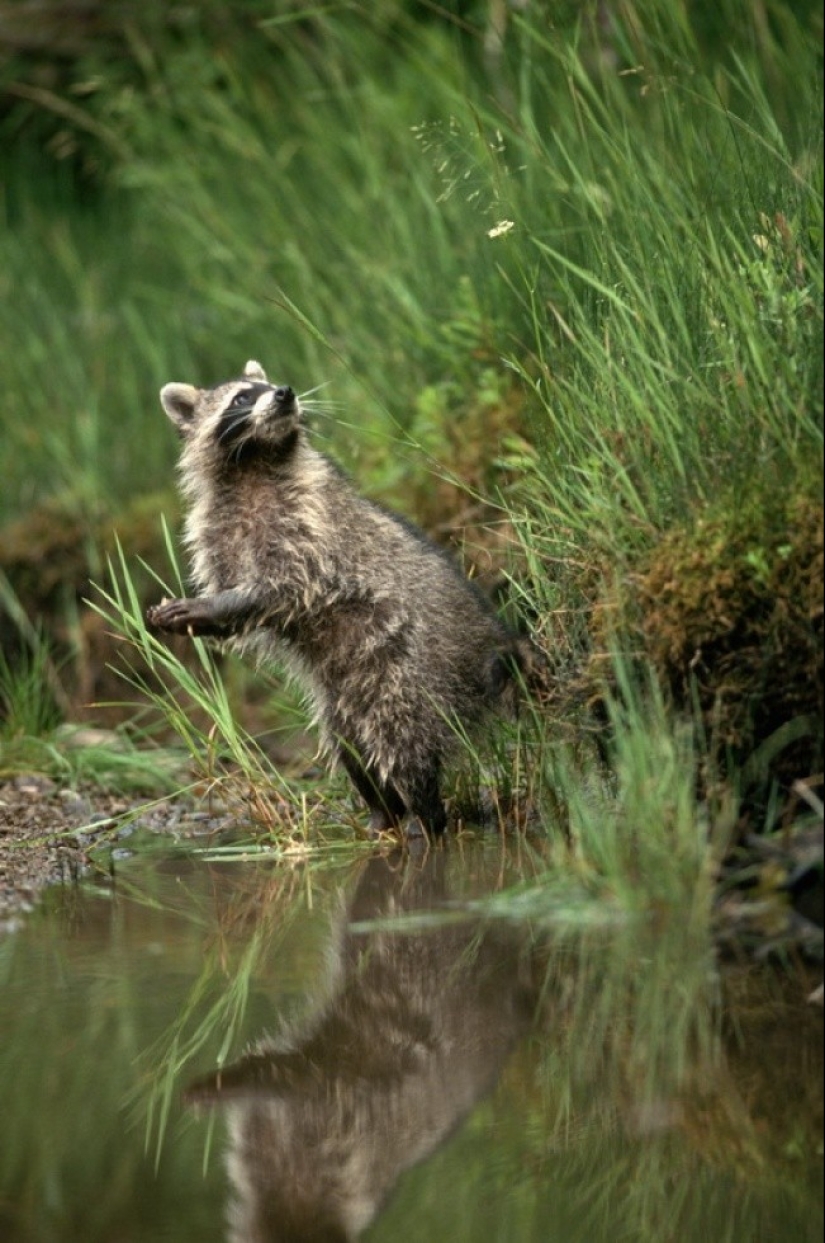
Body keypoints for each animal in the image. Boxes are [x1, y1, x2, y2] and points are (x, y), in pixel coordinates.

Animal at [146, 360, 527, 836]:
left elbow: (284, 588)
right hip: (347, 696)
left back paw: (425, 816)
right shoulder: (218, 530)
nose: (285, 393)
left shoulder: (311, 521)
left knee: (403, 741)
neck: (254, 462)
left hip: (415, 671)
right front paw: (206, 615)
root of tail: (491, 638)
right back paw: (383, 811)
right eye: (242, 397)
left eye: (267, 386)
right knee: (351, 748)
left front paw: (209, 606)